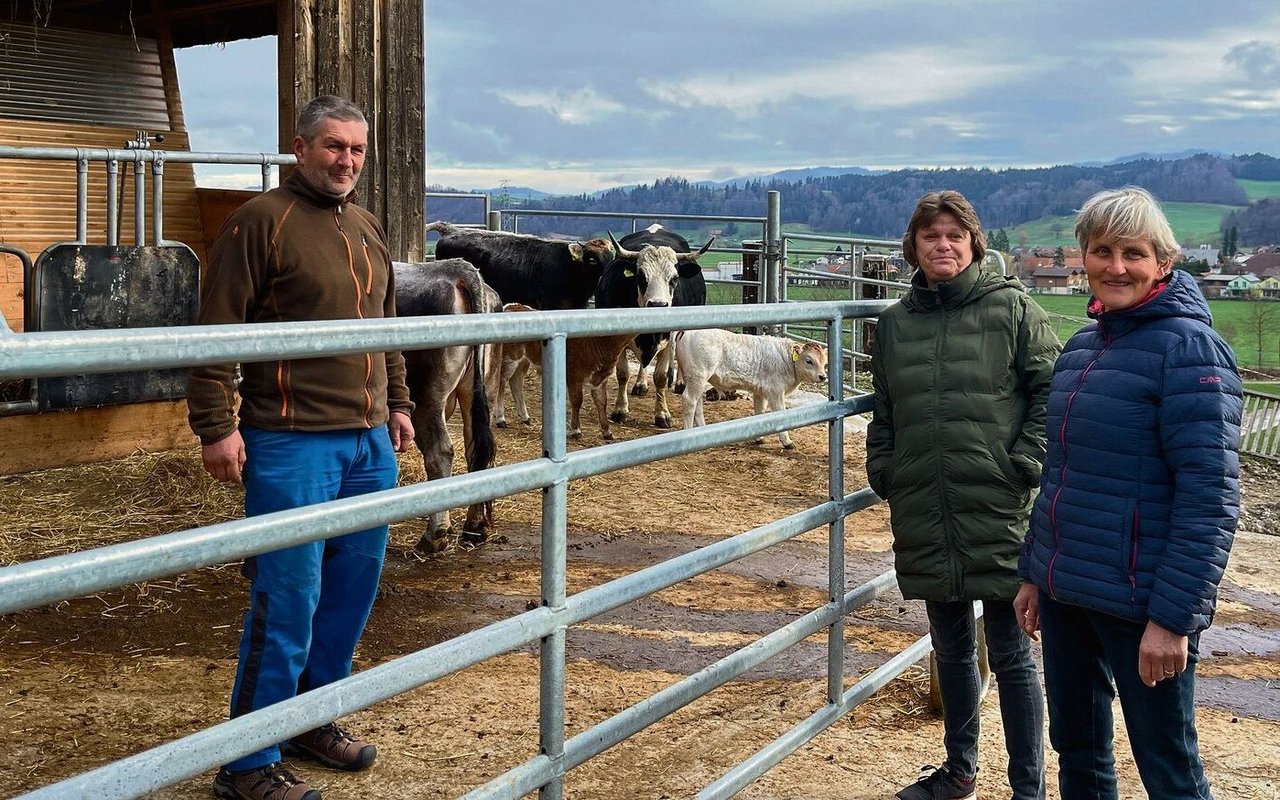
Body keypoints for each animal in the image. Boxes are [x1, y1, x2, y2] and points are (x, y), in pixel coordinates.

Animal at [396, 258, 501, 552]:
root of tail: (458, 270)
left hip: (425, 398)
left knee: (440, 452)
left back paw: (435, 535)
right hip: (481, 391)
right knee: (476, 451)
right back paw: (475, 527)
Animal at [593, 221, 716, 427]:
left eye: (674, 278)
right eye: (641, 276)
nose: (658, 304)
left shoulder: (668, 338)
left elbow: (660, 377)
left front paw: (662, 414)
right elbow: (623, 374)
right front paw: (620, 410)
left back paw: (680, 383)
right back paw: (641, 384)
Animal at [670, 326, 829, 450]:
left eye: (824, 362)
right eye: (809, 360)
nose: (823, 376)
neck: (787, 360)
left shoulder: (760, 392)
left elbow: (759, 412)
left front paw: (759, 438)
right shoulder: (776, 392)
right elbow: (780, 414)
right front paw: (787, 442)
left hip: (696, 379)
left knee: (697, 403)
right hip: (698, 376)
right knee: (689, 400)